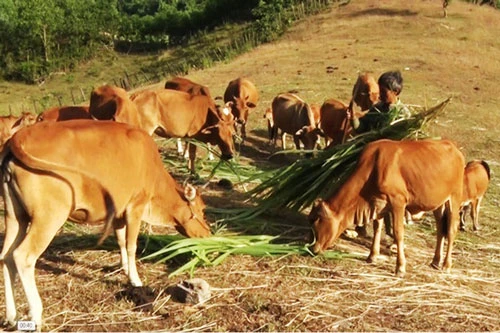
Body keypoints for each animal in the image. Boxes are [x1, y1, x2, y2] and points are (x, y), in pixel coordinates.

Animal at [0, 118, 211, 326]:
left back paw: (11, 316)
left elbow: (121, 242)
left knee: (7, 256)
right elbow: (131, 245)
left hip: (15, 217)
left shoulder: (119, 213)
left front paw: (125, 268)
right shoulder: (135, 207)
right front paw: (135, 279)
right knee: (23, 256)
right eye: (202, 210)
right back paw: (36, 313)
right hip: (48, 217)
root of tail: (20, 136)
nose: (208, 234)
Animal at [308, 139, 464, 276]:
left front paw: (400, 267)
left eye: (316, 220)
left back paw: (446, 265)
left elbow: (398, 232)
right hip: (438, 203)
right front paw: (372, 256)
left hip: (454, 198)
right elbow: (377, 228)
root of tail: (454, 148)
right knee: (440, 229)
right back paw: (435, 261)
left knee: (451, 230)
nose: (312, 249)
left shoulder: (398, 201)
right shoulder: (378, 203)